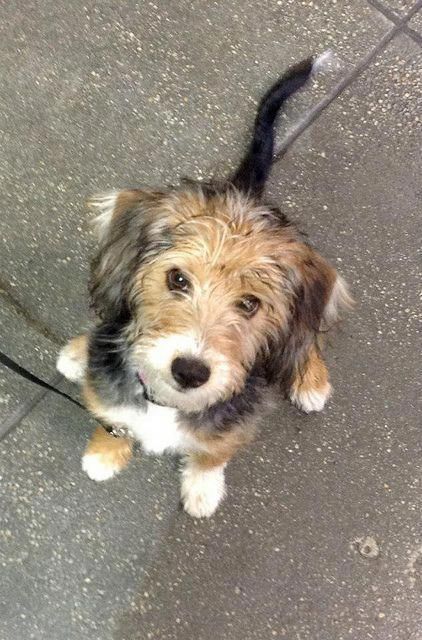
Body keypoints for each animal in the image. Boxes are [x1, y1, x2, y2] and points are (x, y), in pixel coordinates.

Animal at [57, 53, 352, 516]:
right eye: (177, 279)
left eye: (250, 304)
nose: (190, 371)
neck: (165, 402)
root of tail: (244, 194)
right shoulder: (110, 397)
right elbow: (112, 421)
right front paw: (104, 454)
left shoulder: (234, 426)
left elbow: (214, 452)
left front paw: (202, 487)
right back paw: (75, 353)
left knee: (305, 338)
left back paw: (310, 381)